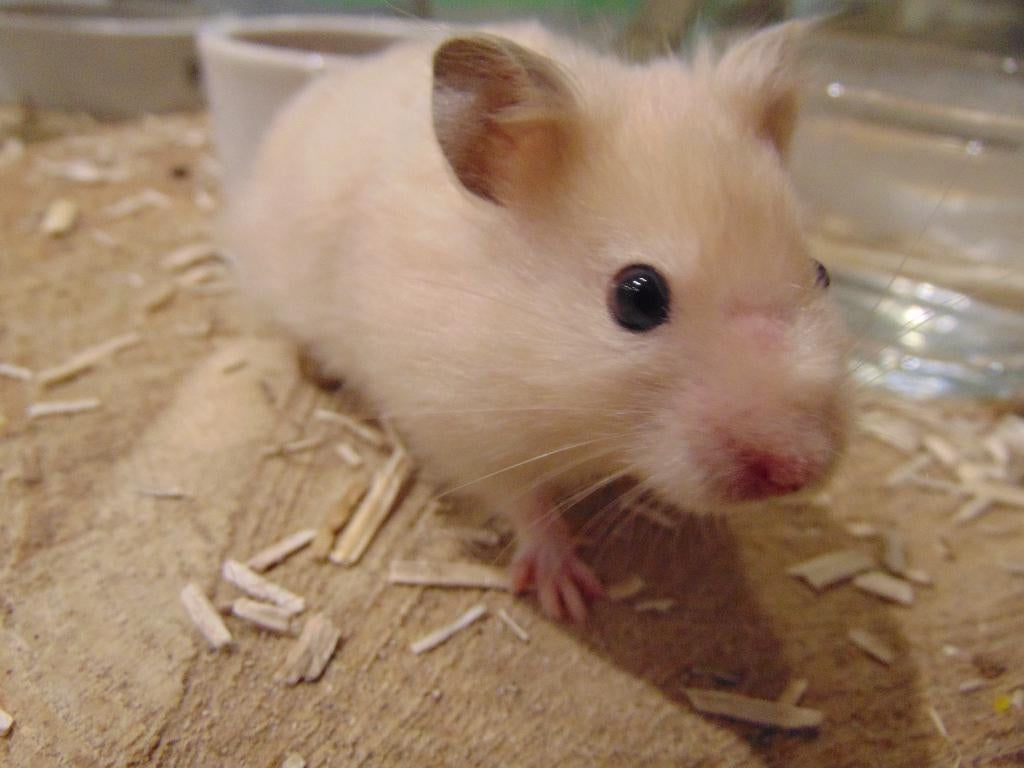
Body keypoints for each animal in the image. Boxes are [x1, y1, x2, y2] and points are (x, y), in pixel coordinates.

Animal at [226, 21, 850, 622]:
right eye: (637, 297)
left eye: (821, 272)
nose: (795, 472)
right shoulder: (458, 424)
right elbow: (525, 503)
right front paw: (570, 595)